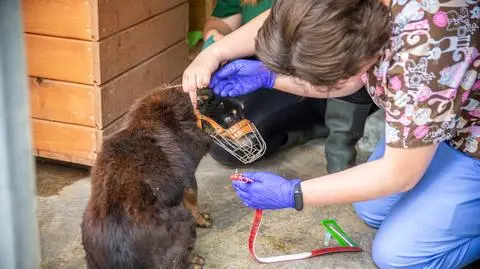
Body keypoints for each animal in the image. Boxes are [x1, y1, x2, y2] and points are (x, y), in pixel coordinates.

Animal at [80, 86, 214, 268]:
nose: (210, 89)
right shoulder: (187, 180)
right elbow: (194, 205)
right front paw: (202, 219)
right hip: (182, 220)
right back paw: (194, 261)